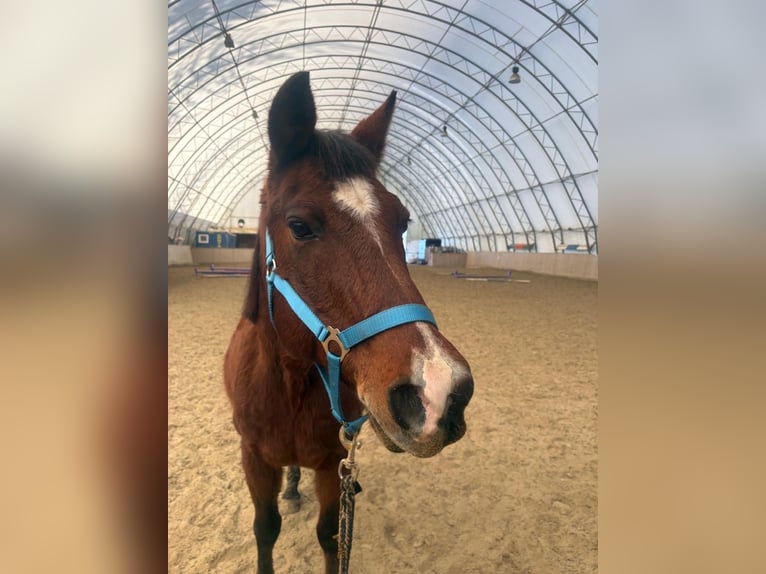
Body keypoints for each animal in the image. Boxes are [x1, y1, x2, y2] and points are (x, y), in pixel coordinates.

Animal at [223, 71, 474, 574]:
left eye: (402, 221)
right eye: (299, 225)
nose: (443, 393)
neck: (289, 383)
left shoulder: (332, 461)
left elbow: (330, 534)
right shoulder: (253, 458)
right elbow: (266, 529)